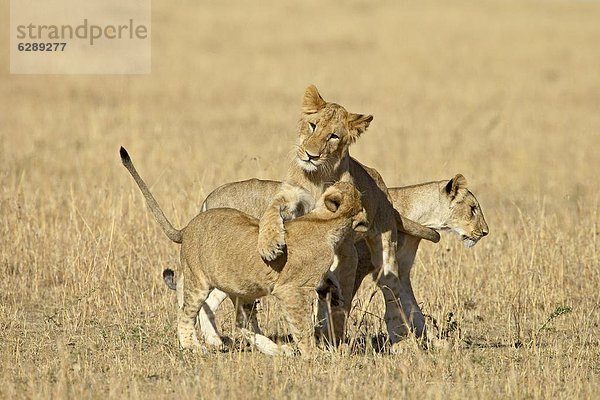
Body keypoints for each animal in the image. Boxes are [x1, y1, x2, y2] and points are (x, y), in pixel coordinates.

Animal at [119, 145, 368, 354]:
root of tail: (193, 220)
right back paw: (200, 344)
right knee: (192, 306)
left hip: (240, 283)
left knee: (237, 318)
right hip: (212, 278)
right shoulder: (289, 284)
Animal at [195, 173, 490, 346]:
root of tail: (209, 199)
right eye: (473, 209)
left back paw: (215, 342)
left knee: (211, 301)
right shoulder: (358, 267)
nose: (485, 232)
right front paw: (330, 340)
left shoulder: (400, 274)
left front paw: (436, 344)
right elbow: (341, 304)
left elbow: (414, 310)